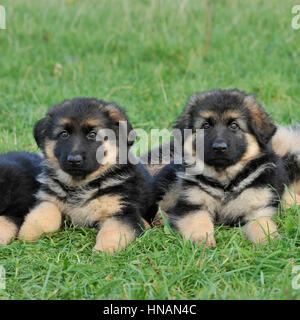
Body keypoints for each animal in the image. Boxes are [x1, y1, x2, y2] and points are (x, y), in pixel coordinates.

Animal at [18, 97, 157, 252]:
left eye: (92, 135)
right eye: (64, 134)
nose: (74, 160)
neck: (81, 185)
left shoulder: (122, 211)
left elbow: (112, 231)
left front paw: (103, 250)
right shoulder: (49, 199)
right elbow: (42, 215)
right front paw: (28, 236)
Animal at [155, 89, 288, 246]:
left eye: (234, 125)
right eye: (205, 125)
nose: (219, 147)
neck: (225, 181)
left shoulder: (259, 207)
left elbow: (261, 224)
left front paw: (267, 242)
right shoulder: (191, 204)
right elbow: (198, 221)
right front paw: (202, 242)